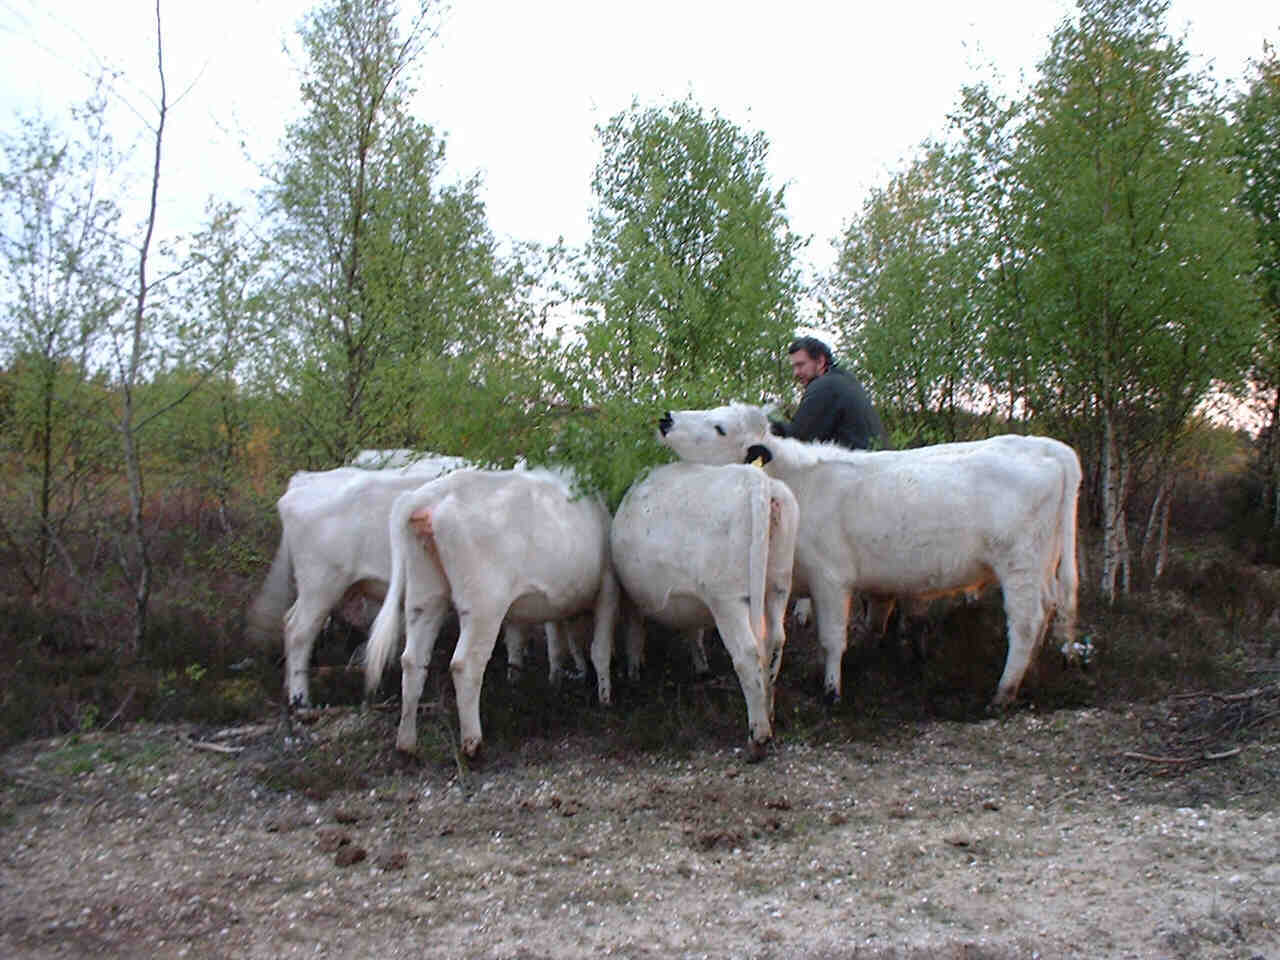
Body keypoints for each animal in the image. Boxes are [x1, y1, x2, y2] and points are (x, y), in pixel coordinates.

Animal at [366, 468, 619, 757]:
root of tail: (430, 495)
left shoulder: (551, 602)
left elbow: (553, 645)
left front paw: (554, 681)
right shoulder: (609, 586)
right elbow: (600, 648)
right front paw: (604, 698)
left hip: (425, 592)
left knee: (412, 660)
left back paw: (407, 744)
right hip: (483, 604)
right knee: (465, 665)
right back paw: (473, 744)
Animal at [606, 465, 788, 757]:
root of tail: (754, 479)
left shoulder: (632, 598)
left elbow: (634, 634)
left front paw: (634, 673)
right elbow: (694, 631)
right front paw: (701, 666)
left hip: (728, 599)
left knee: (748, 654)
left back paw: (757, 736)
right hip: (778, 585)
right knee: (775, 642)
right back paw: (769, 714)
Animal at [660, 401, 1080, 711]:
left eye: (720, 427)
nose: (667, 418)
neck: (800, 485)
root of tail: (1047, 449)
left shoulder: (830, 577)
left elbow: (832, 638)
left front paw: (832, 691)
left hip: (1019, 565)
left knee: (1025, 622)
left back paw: (1003, 693)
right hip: (1043, 565)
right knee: (1049, 607)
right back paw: (1033, 674)